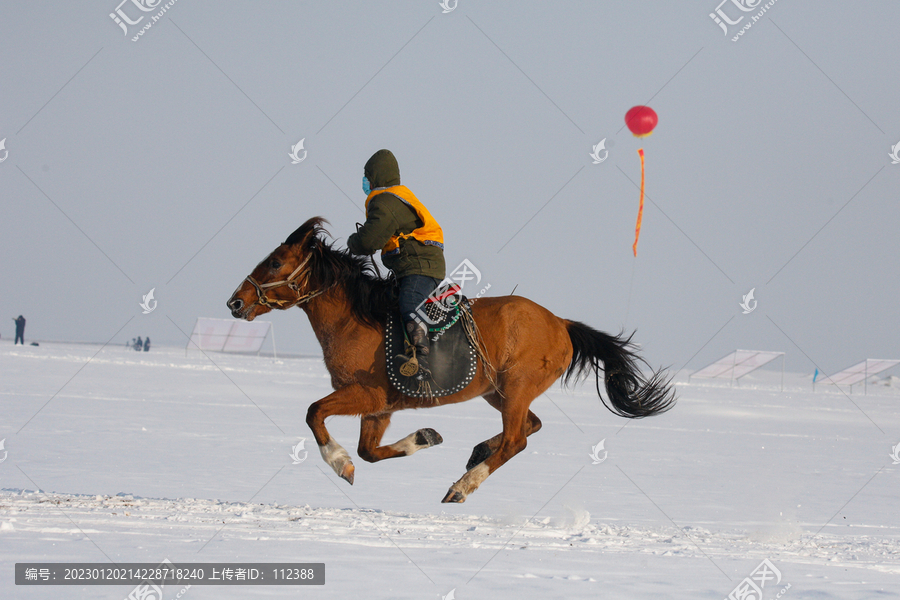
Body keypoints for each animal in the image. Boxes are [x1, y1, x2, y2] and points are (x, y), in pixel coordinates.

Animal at [227, 218, 676, 504]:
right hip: (498, 392)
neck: (358, 317)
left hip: (516, 388)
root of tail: (561, 323)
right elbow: (369, 451)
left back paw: (462, 486)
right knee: (529, 427)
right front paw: (424, 437)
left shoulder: (367, 395)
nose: (235, 302)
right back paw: (477, 452)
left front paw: (340, 465)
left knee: (516, 439)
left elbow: (314, 413)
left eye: (274, 262)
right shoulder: (380, 407)